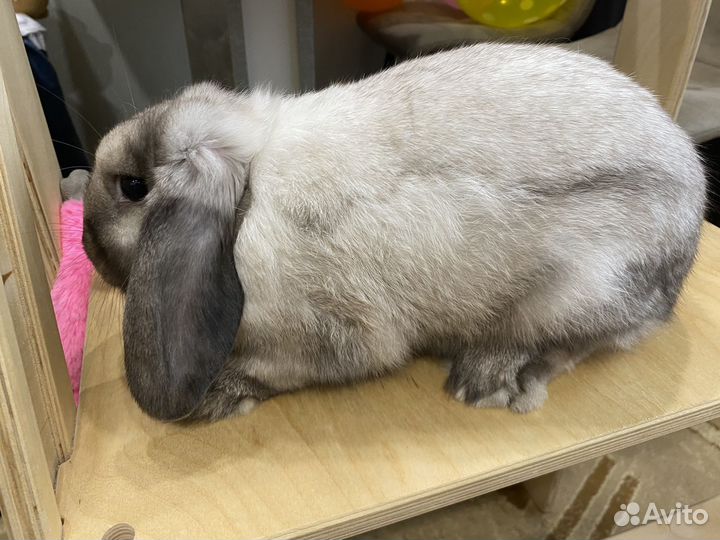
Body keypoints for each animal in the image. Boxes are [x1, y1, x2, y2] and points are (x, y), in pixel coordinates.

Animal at [82, 43, 706, 422]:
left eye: (132, 187)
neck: (247, 198)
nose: (88, 253)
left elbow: (285, 369)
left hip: (582, 290)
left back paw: (486, 380)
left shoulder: (331, 334)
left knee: (579, 343)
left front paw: (219, 396)